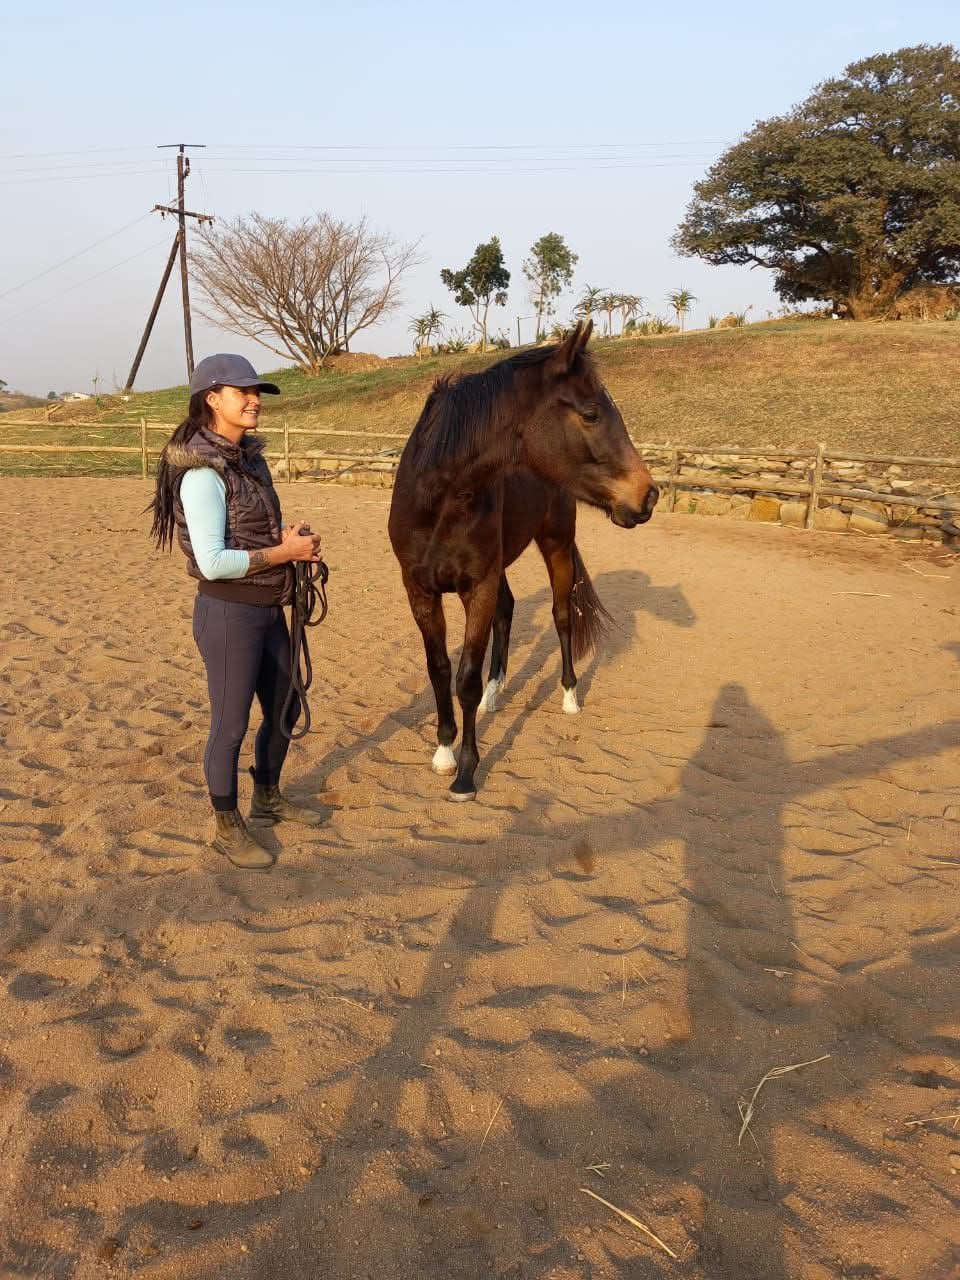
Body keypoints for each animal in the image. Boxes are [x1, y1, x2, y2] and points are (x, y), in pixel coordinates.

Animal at [387, 320, 659, 801]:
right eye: (591, 413)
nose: (648, 495)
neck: (436, 502)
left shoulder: (477, 585)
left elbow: (465, 678)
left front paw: (466, 772)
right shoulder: (420, 591)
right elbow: (439, 669)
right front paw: (444, 751)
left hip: (555, 546)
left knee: (562, 616)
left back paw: (568, 695)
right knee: (508, 610)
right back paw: (496, 693)